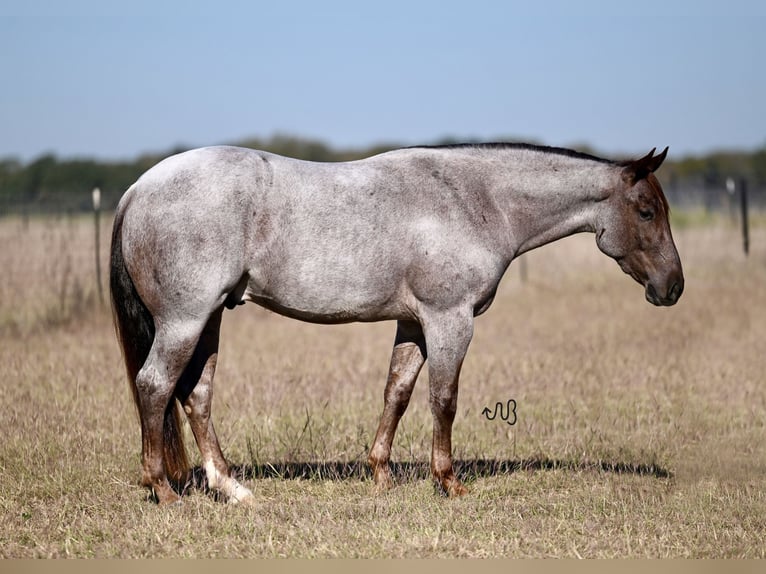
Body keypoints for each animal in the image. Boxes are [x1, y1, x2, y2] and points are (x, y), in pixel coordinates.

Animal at [108, 142, 684, 506]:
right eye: (647, 211)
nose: (673, 287)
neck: (474, 199)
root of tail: (137, 187)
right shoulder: (450, 320)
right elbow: (444, 400)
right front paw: (448, 482)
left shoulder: (412, 324)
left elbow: (398, 393)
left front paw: (381, 474)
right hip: (185, 321)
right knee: (155, 385)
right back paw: (163, 490)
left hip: (208, 322)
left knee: (196, 396)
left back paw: (232, 489)